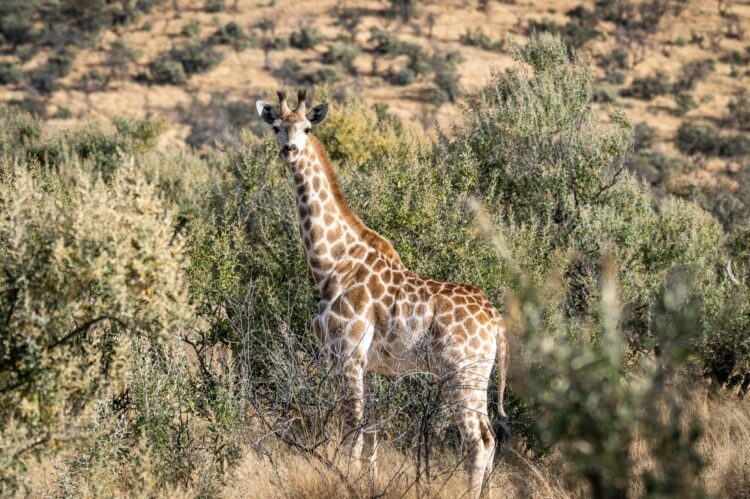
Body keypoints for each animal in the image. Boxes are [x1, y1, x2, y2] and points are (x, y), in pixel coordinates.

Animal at [256, 89, 509, 498]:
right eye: (276, 127)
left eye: (307, 127)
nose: (290, 149)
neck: (330, 263)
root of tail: (497, 322)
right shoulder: (368, 364)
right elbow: (371, 435)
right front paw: (367, 485)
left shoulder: (346, 353)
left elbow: (352, 432)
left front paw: (343, 483)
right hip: (478, 376)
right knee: (490, 437)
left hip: (460, 373)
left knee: (478, 441)